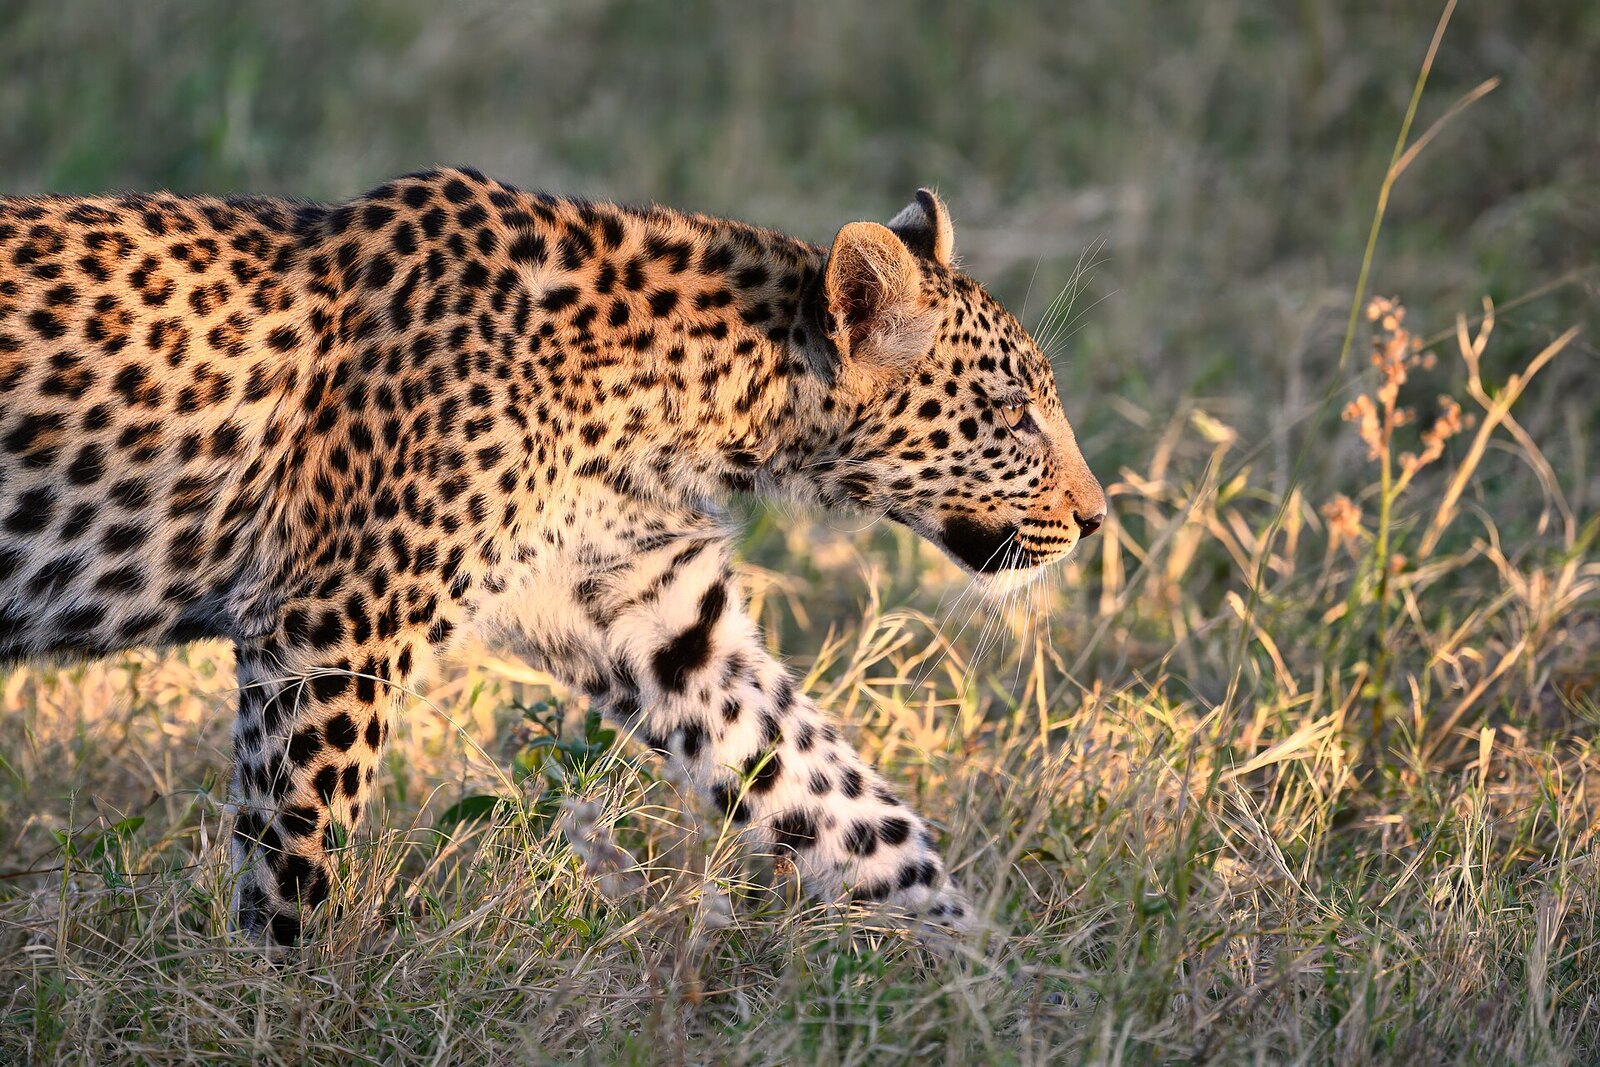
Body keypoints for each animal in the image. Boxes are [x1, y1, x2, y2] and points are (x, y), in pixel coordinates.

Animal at [0, 167, 1106, 946]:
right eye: (1014, 414)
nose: (1097, 519)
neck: (692, 398)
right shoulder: (332, 625)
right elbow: (296, 847)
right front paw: (278, 999)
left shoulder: (659, 617)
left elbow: (843, 804)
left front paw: (994, 977)